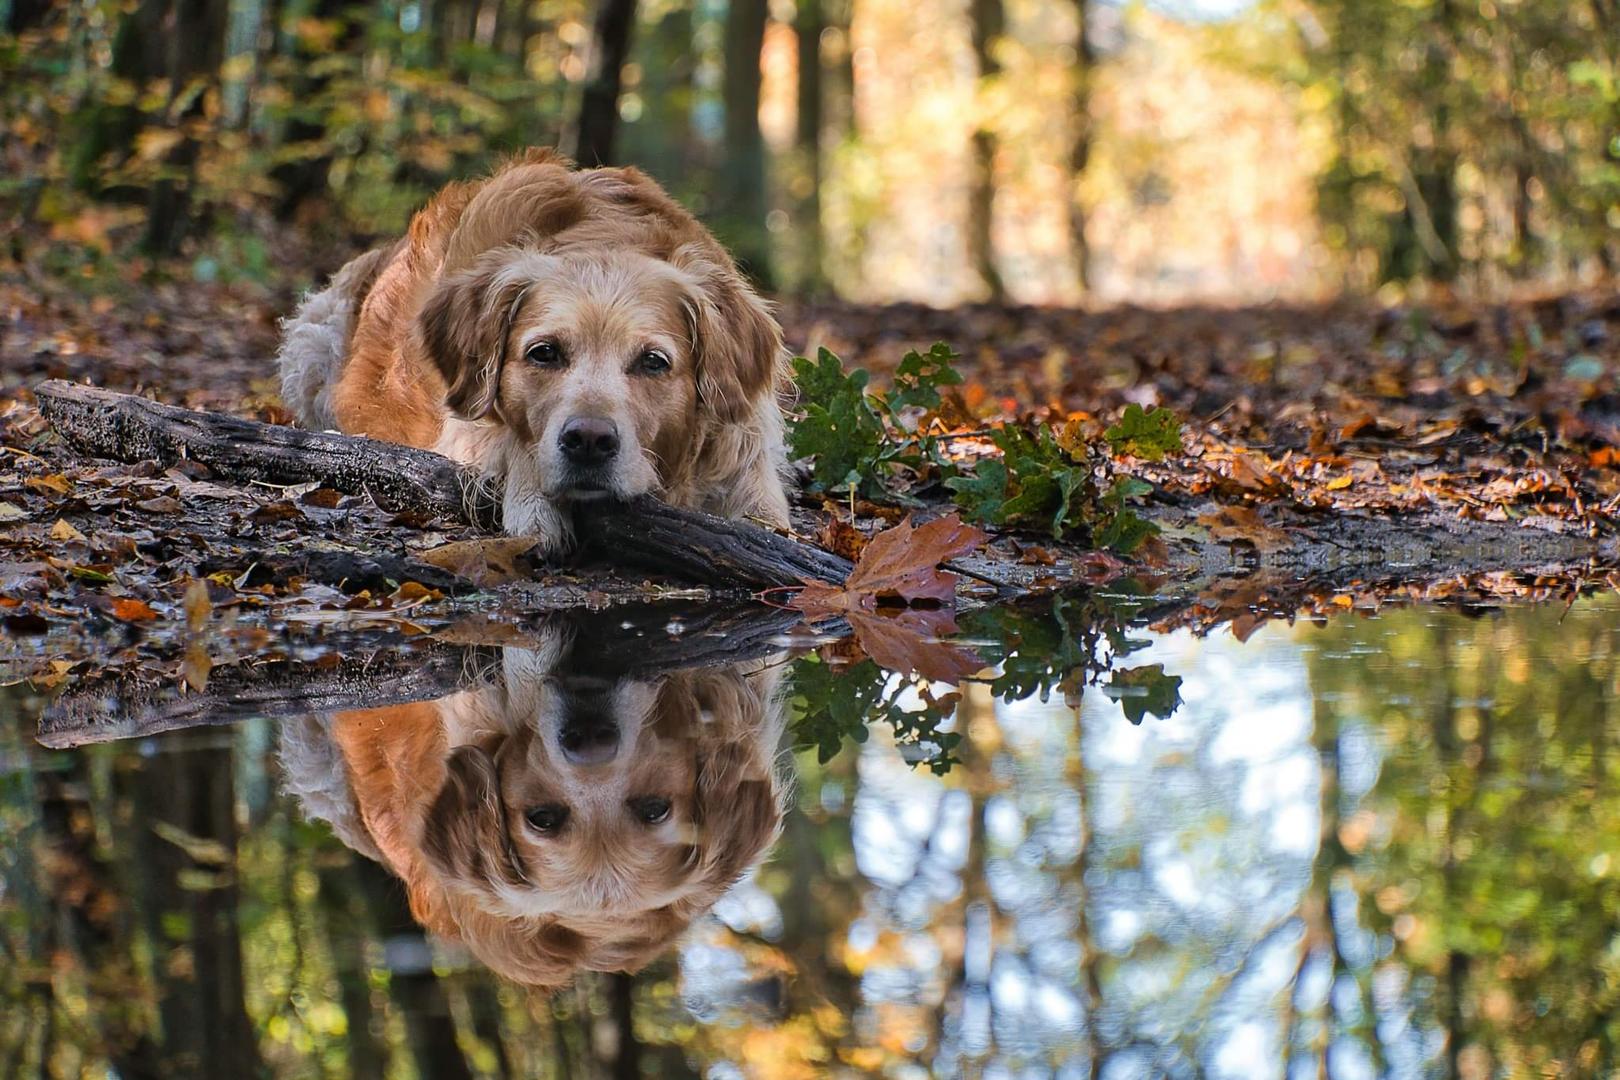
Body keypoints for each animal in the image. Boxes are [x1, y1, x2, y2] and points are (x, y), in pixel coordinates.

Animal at [280, 148, 797, 544]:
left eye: (653, 362)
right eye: (544, 353)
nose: (588, 441)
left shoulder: (746, 456)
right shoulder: (463, 430)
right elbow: (508, 441)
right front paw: (534, 505)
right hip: (309, 344)